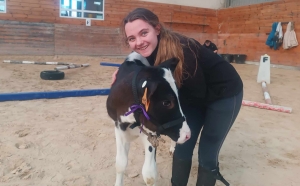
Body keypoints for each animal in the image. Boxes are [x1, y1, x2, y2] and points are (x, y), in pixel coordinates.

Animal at [106, 52, 191, 186]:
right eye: (166, 102)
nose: (188, 135)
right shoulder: (119, 127)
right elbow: (120, 163)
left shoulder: (151, 134)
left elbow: (149, 174)